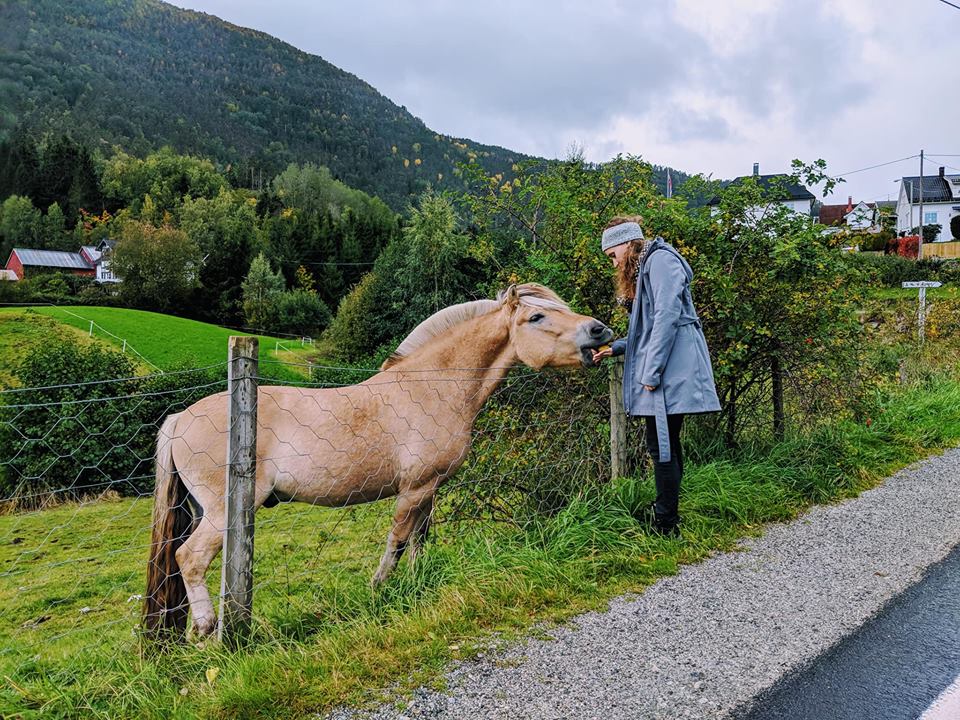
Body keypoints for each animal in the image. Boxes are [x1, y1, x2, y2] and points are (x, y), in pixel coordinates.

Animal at [143, 283, 613, 640]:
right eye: (536, 318)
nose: (599, 330)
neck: (431, 388)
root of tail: (180, 418)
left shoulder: (430, 489)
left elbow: (420, 539)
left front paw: (418, 584)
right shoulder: (415, 488)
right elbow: (399, 540)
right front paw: (378, 589)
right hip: (223, 512)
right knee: (190, 558)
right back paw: (207, 629)